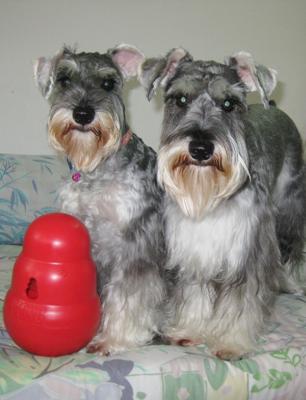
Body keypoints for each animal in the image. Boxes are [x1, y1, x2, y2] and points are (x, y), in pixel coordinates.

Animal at [33, 45, 166, 354]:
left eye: (108, 83)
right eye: (64, 80)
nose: (83, 113)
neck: (96, 170)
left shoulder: (135, 242)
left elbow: (128, 295)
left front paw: (113, 338)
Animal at [139, 48, 306, 358]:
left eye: (229, 104)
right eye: (180, 99)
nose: (200, 148)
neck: (209, 195)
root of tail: (275, 107)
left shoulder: (248, 249)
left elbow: (242, 301)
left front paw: (231, 341)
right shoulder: (194, 248)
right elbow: (195, 292)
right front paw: (191, 330)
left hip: (289, 208)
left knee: (292, 250)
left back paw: (292, 283)